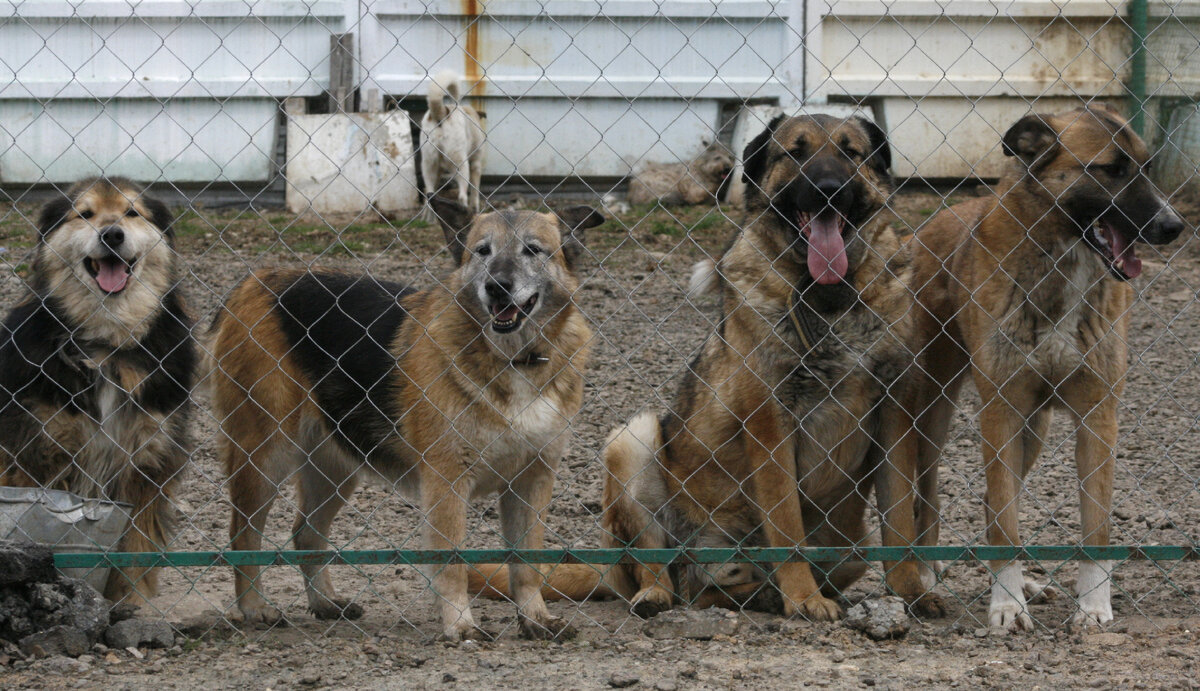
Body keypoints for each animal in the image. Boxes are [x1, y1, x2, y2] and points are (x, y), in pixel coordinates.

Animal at [0, 177, 194, 604]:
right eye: (85, 214)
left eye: (131, 213)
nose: (112, 234)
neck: (107, 341)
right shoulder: (38, 453)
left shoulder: (147, 459)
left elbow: (137, 541)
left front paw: (131, 602)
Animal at [208, 196, 600, 638]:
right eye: (482, 251)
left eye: (532, 250)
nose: (497, 287)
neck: (513, 360)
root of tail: (252, 283)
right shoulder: (447, 481)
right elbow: (451, 562)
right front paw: (460, 624)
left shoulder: (532, 481)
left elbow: (528, 564)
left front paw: (535, 618)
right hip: (265, 459)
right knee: (243, 535)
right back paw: (254, 606)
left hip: (334, 471)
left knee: (305, 534)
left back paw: (324, 601)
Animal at [417, 70, 482, 220]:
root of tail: (442, 111)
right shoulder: (476, 164)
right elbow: (475, 192)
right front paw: (475, 208)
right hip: (461, 165)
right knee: (462, 196)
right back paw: (464, 211)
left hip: (428, 165)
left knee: (429, 194)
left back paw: (431, 217)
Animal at [463, 116, 940, 619]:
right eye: (795, 152)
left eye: (851, 152)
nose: (828, 190)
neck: (828, 295)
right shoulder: (771, 423)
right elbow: (787, 524)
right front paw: (806, 598)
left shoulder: (895, 416)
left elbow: (900, 517)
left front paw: (910, 590)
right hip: (633, 441)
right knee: (665, 574)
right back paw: (662, 594)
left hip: (850, 549)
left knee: (712, 589)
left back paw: (764, 594)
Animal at [902, 103, 1185, 633]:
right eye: (1112, 170)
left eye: (1146, 167)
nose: (1175, 226)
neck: (1061, 263)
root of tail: (935, 222)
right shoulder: (1000, 411)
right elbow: (1004, 525)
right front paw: (1006, 605)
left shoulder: (1098, 416)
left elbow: (1094, 526)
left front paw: (1092, 605)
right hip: (934, 413)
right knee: (928, 499)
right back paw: (927, 576)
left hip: (1033, 427)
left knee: (995, 499)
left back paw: (1028, 583)